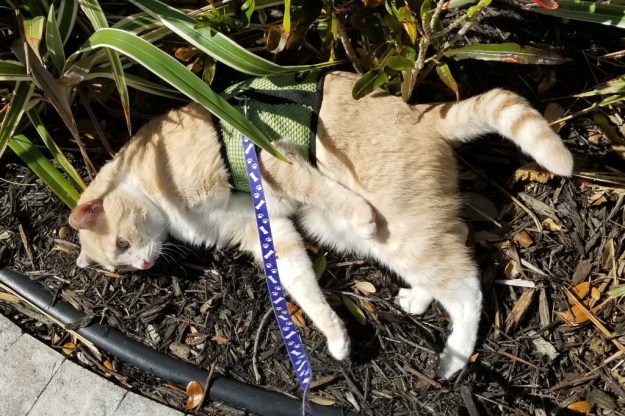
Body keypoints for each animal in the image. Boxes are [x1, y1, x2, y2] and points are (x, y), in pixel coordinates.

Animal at [68, 71, 573, 379]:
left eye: (122, 243)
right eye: (122, 264)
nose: (143, 265)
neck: (151, 176)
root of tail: (421, 115)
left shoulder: (272, 158)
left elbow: (319, 188)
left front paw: (358, 211)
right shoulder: (269, 232)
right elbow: (303, 289)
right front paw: (335, 337)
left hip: (396, 231)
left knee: (467, 285)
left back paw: (453, 359)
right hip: (375, 234)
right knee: (456, 248)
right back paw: (417, 298)